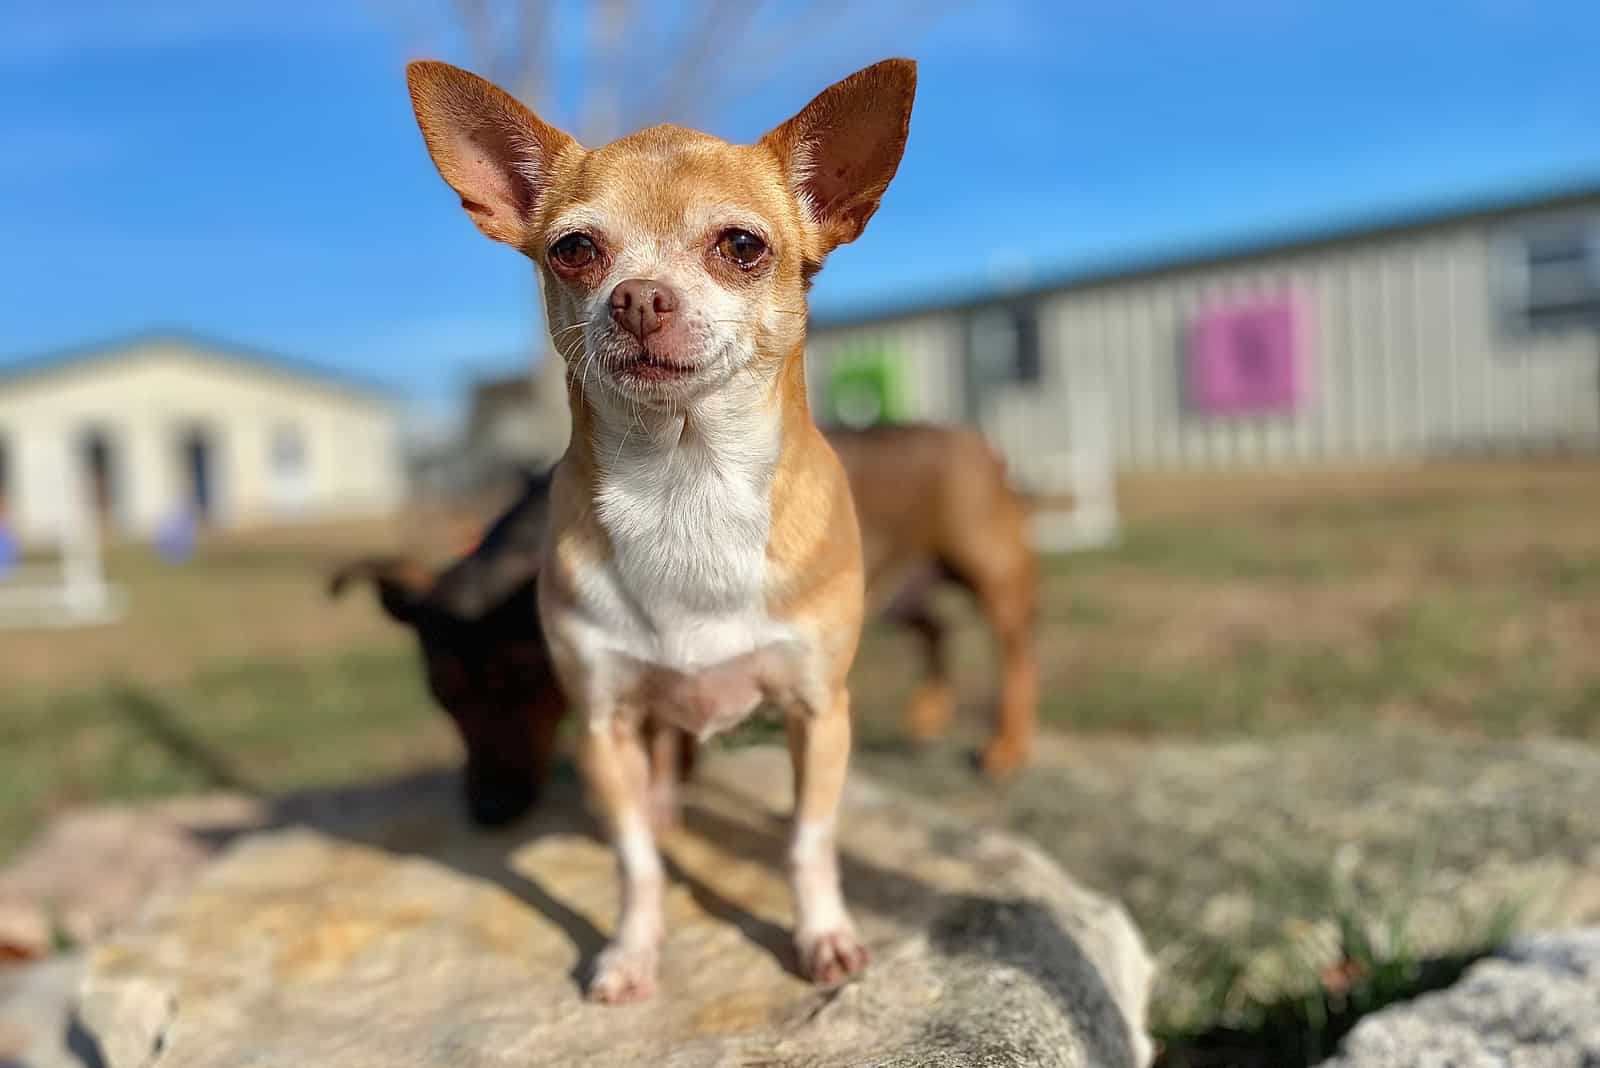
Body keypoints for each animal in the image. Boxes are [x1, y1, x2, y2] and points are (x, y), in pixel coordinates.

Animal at [334, 422, 1036, 824]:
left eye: (528, 684)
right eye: (442, 694)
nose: (489, 811)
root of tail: (978, 442)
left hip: (987, 568)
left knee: (1016, 647)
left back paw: (1006, 746)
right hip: (892, 592)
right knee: (936, 630)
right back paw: (928, 716)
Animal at [406, 60, 921, 1004]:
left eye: (742, 246)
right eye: (574, 249)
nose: (639, 297)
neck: (687, 488)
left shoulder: (818, 710)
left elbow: (807, 841)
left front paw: (822, 935)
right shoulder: (604, 726)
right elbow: (634, 859)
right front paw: (631, 950)